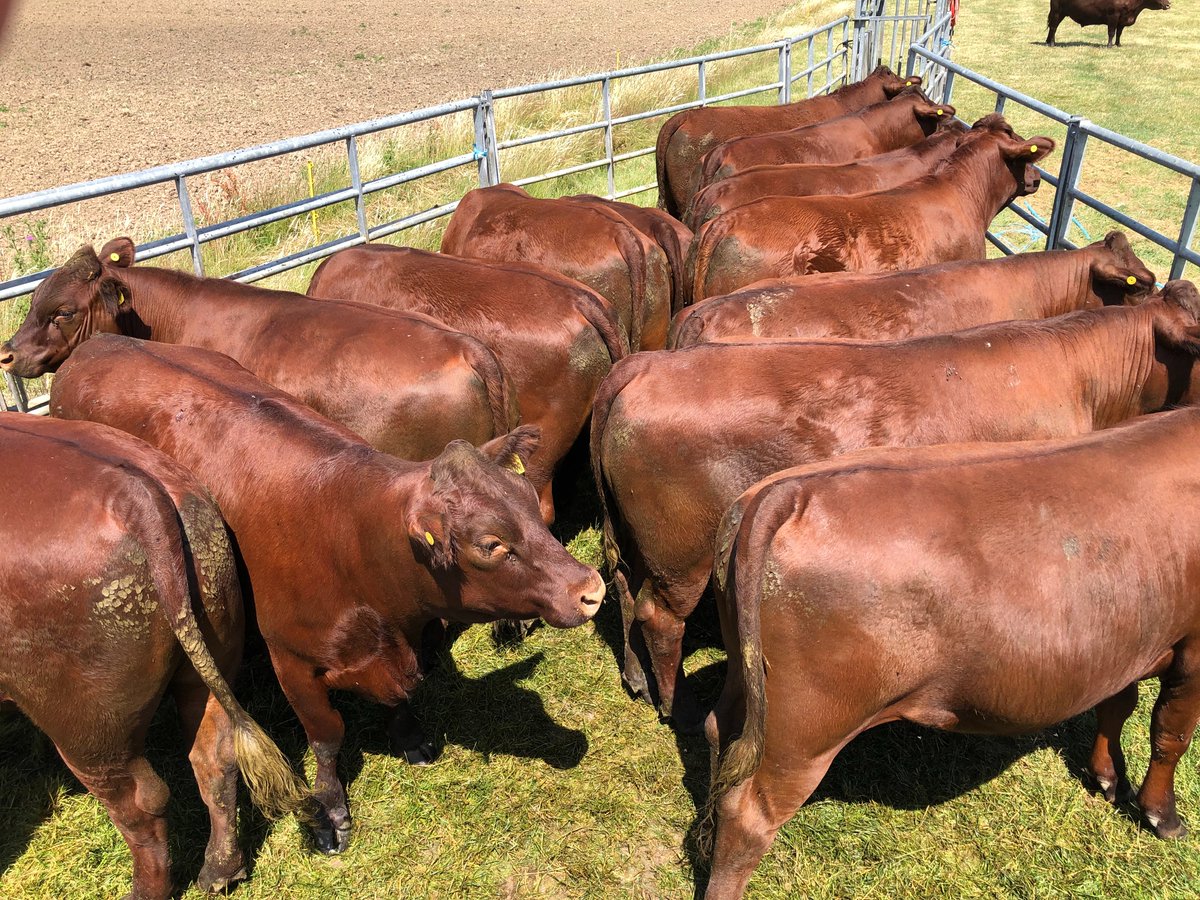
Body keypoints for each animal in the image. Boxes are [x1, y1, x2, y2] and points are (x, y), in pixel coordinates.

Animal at [0, 414, 309, 900]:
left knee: (140, 800)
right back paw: (221, 871)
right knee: (214, 754)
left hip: (87, 722)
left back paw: (146, 890)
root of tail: (140, 498)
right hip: (210, 642)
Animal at [50, 335, 605, 855]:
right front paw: (331, 811)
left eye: (529, 500)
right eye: (491, 544)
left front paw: (411, 738)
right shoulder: (291, 658)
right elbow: (327, 734)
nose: (591, 589)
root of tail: (97, 345)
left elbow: (402, 698)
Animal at [591, 282, 1200, 725]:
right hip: (680, 552)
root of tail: (646, 365)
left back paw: (635, 679)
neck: (1081, 377)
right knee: (659, 616)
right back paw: (672, 705)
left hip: (634, 537)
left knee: (621, 585)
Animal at [703, 402, 1200, 898]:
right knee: (749, 813)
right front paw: (1163, 816)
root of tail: (785, 493)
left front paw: (1108, 777)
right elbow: (1170, 735)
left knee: (717, 735)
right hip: (804, 728)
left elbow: (1117, 705)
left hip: (748, 686)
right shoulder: (1193, 649)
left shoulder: (1130, 640)